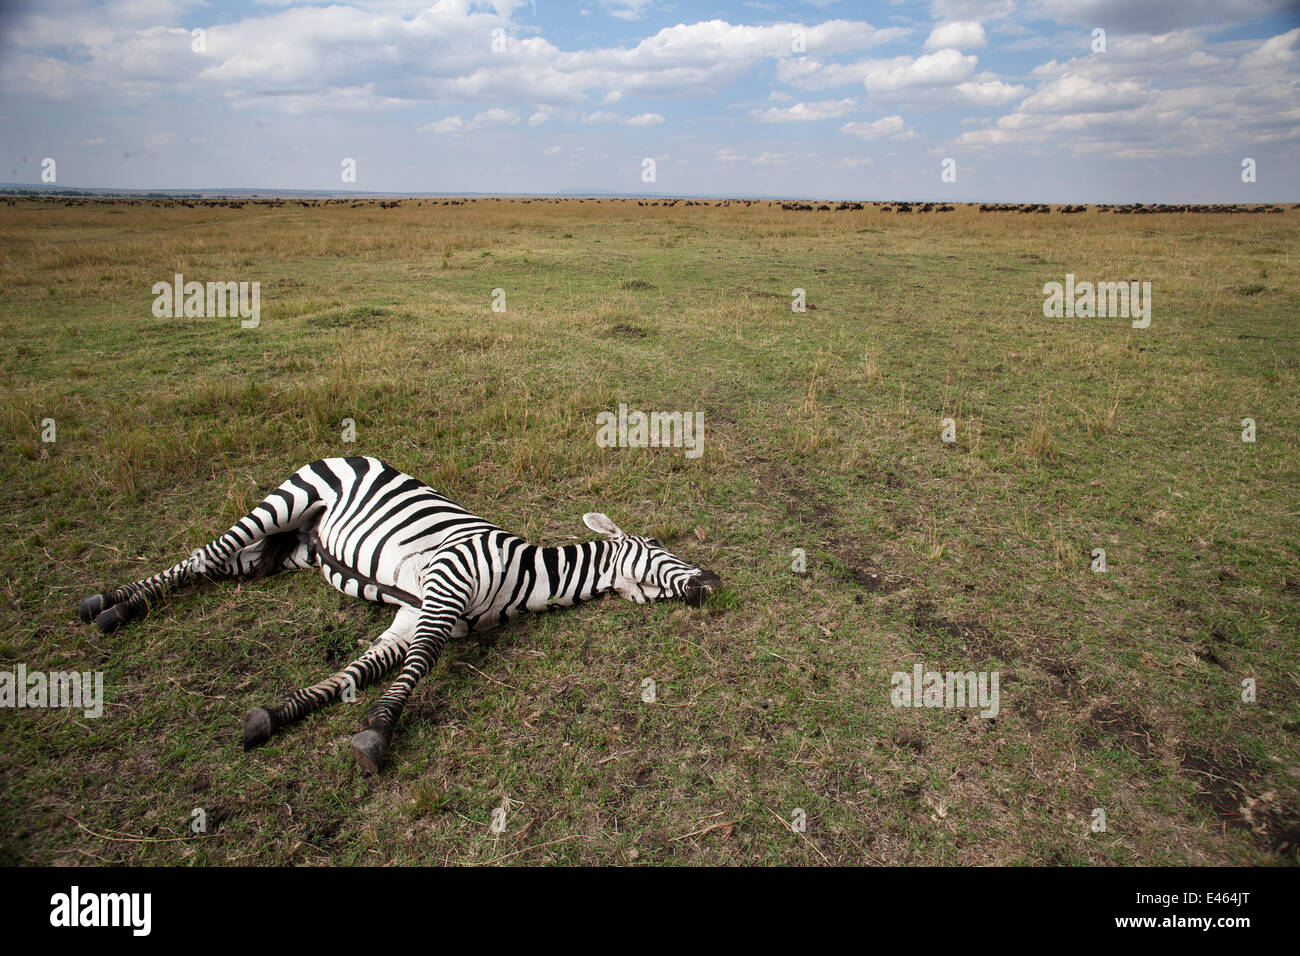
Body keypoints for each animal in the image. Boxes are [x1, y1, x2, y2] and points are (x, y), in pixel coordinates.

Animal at [77, 452, 722, 775]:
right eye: (661, 547)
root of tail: (349, 448)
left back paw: (117, 606)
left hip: (290, 549)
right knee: (206, 553)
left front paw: (275, 715)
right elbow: (417, 666)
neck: (525, 572)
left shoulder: (416, 614)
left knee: (215, 565)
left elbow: (360, 670)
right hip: (286, 501)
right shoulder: (443, 586)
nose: (715, 585)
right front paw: (377, 737)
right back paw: (105, 607)